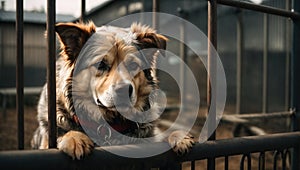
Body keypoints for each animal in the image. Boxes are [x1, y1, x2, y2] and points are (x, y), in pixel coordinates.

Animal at [31, 21, 195, 159]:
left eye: (133, 65)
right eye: (100, 64)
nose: (123, 90)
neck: (109, 125)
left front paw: (178, 136)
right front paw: (74, 138)